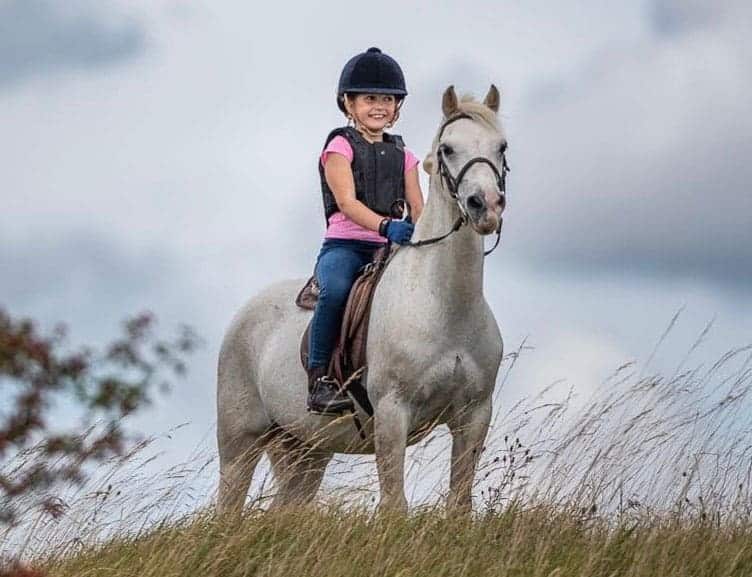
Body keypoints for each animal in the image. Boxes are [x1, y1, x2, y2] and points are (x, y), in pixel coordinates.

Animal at [216, 85, 507, 514]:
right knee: (228, 505)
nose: (485, 205)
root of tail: (244, 315)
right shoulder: (392, 413)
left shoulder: (473, 417)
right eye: (448, 149)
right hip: (241, 441)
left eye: (501, 146)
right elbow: (394, 504)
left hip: (304, 450)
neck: (444, 305)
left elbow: (459, 503)